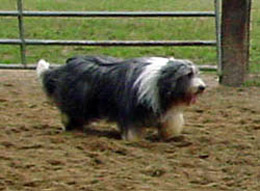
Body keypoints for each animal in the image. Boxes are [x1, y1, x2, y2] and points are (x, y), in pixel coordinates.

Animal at [37, 55, 207, 140]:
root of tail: (65, 66)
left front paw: (170, 135)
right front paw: (134, 140)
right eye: (188, 74)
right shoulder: (130, 109)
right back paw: (70, 127)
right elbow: (132, 128)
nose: (202, 87)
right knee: (69, 113)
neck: (160, 81)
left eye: (196, 73)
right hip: (77, 100)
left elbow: (170, 123)